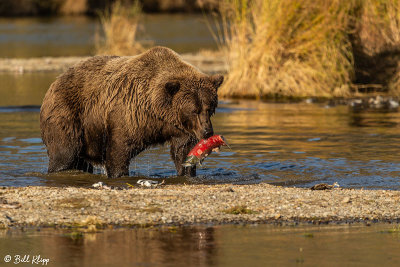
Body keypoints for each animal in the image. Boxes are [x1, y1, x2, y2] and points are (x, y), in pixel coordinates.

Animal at [40, 47, 223, 179]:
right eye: (194, 110)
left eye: (209, 108)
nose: (207, 131)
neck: (156, 112)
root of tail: (54, 83)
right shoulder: (128, 115)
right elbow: (119, 151)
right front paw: (118, 174)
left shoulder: (179, 127)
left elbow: (183, 152)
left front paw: (187, 171)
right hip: (68, 115)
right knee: (64, 153)